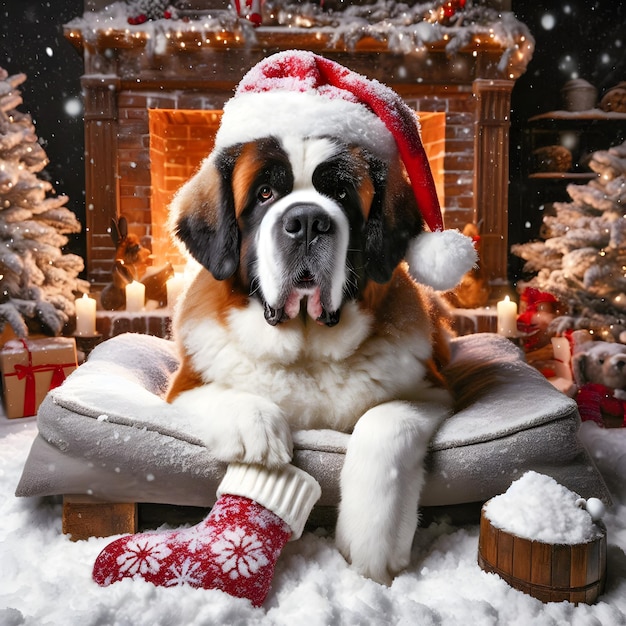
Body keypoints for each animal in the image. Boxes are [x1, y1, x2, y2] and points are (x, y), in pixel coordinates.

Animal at [163, 51, 476, 584]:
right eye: (264, 194)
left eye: (344, 195)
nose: (308, 221)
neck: (307, 345)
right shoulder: (180, 387)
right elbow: (221, 393)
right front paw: (256, 429)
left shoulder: (433, 390)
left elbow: (385, 420)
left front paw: (372, 545)